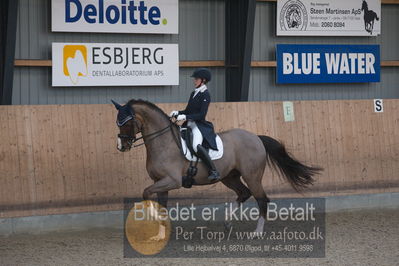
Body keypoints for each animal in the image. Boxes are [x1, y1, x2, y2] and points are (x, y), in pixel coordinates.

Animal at [111, 100, 322, 235]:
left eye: (126, 122)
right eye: (118, 122)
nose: (121, 146)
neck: (164, 143)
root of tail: (255, 137)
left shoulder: (172, 181)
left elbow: (146, 193)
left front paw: (154, 219)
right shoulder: (160, 182)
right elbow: (160, 204)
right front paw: (161, 232)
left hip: (252, 176)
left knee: (262, 199)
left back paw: (257, 232)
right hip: (229, 177)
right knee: (244, 193)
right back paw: (228, 222)